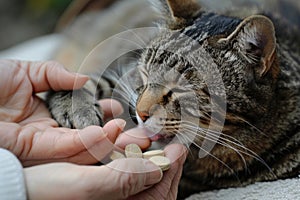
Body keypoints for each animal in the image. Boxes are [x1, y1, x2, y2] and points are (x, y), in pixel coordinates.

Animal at [45, 0, 298, 198]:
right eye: (145, 73)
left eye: (181, 90)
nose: (140, 113)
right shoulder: (123, 73)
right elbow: (94, 79)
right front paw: (74, 106)